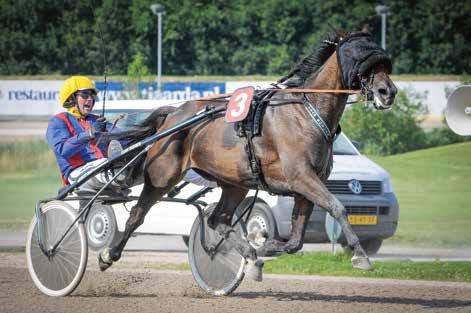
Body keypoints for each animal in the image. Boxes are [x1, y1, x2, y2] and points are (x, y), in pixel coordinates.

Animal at [98, 29, 398, 278]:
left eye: (384, 63)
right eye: (362, 58)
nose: (389, 91)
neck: (306, 112)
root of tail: (173, 114)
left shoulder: (309, 186)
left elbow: (295, 240)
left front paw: (265, 247)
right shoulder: (301, 178)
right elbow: (338, 207)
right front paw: (360, 256)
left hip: (235, 183)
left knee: (218, 219)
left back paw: (250, 256)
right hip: (162, 175)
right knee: (137, 214)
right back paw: (108, 255)